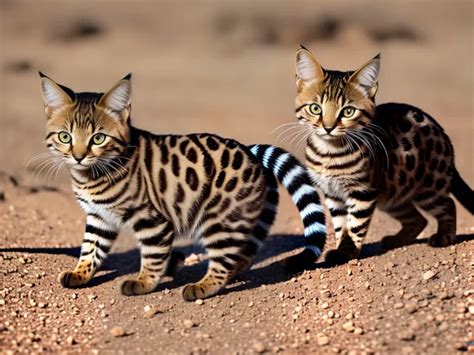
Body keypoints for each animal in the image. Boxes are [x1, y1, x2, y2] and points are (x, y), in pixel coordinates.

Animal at [39, 72, 326, 300]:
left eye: (98, 138)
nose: (78, 156)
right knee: (242, 254)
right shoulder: (99, 217)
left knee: (223, 259)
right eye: (65, 136)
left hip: (219, 220)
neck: (89, 176)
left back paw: (201, 287)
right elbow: (90, 248)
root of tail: (250, 151)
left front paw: (143, 282)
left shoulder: (152, 220)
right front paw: (80, 274)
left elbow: (152, 255)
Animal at [292, 46, 474, 266]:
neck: (329, 153)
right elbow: (340, 226)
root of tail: (444, 135)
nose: (328, 128)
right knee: (418, 219)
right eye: (315, 108)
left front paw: (346, 252)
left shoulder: (363, 190)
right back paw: (396, 239)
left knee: (448, 205)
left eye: (348, 111)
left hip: (428, 188)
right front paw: (341, 248)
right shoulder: (332, 194)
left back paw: (444, 236)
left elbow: (355, 226)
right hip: (393, 195)